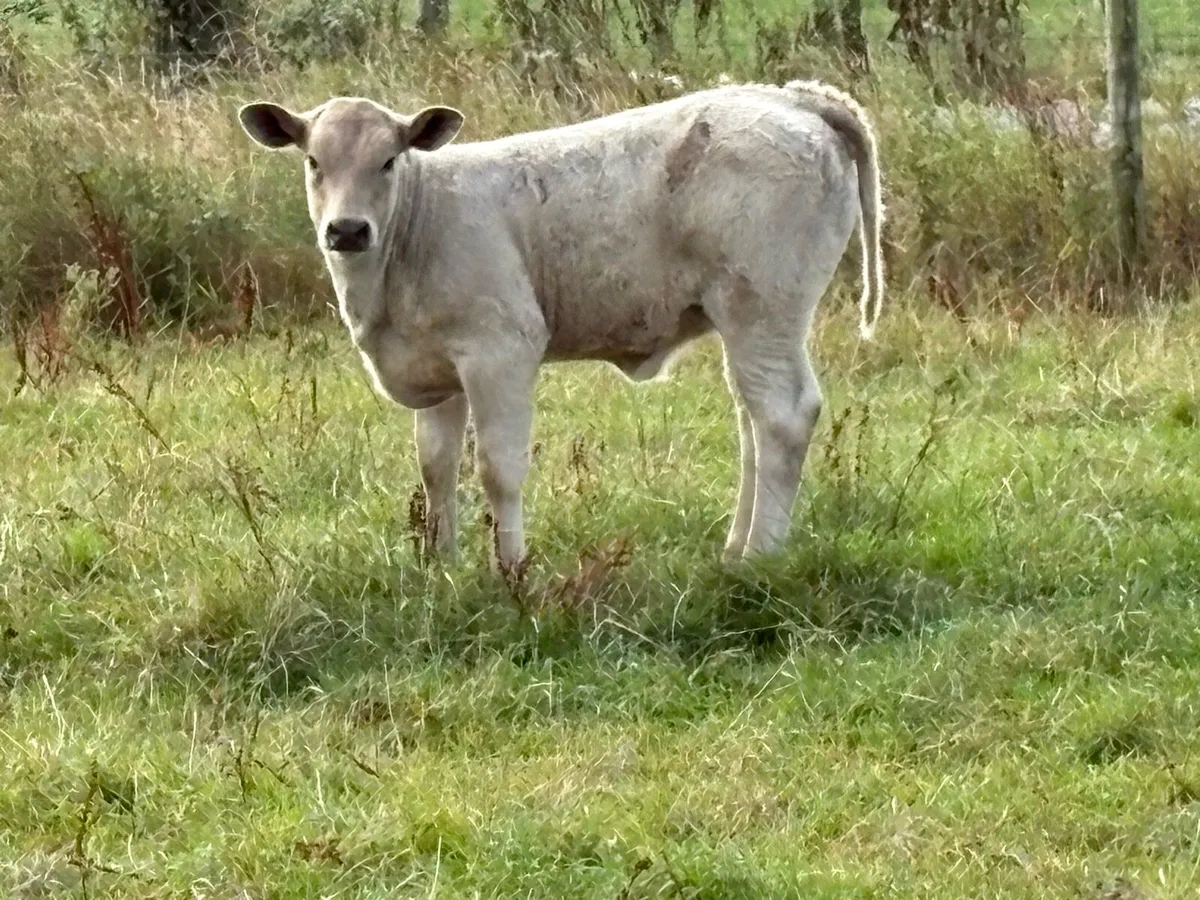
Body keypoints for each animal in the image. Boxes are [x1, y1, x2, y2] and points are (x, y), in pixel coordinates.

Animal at [237, 79, 884, 572]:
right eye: (314, 162)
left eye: (388, 161)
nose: (347, 230)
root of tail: (791, 96)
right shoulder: (437, 369)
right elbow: (436, 468)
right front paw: (441, 567)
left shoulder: (500, 350)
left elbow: (498, 469)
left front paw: (510, 571)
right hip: (746, 323)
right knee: (753, 423)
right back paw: (733, 553)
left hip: (764, 309)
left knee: (782, 416)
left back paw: (759, 558)